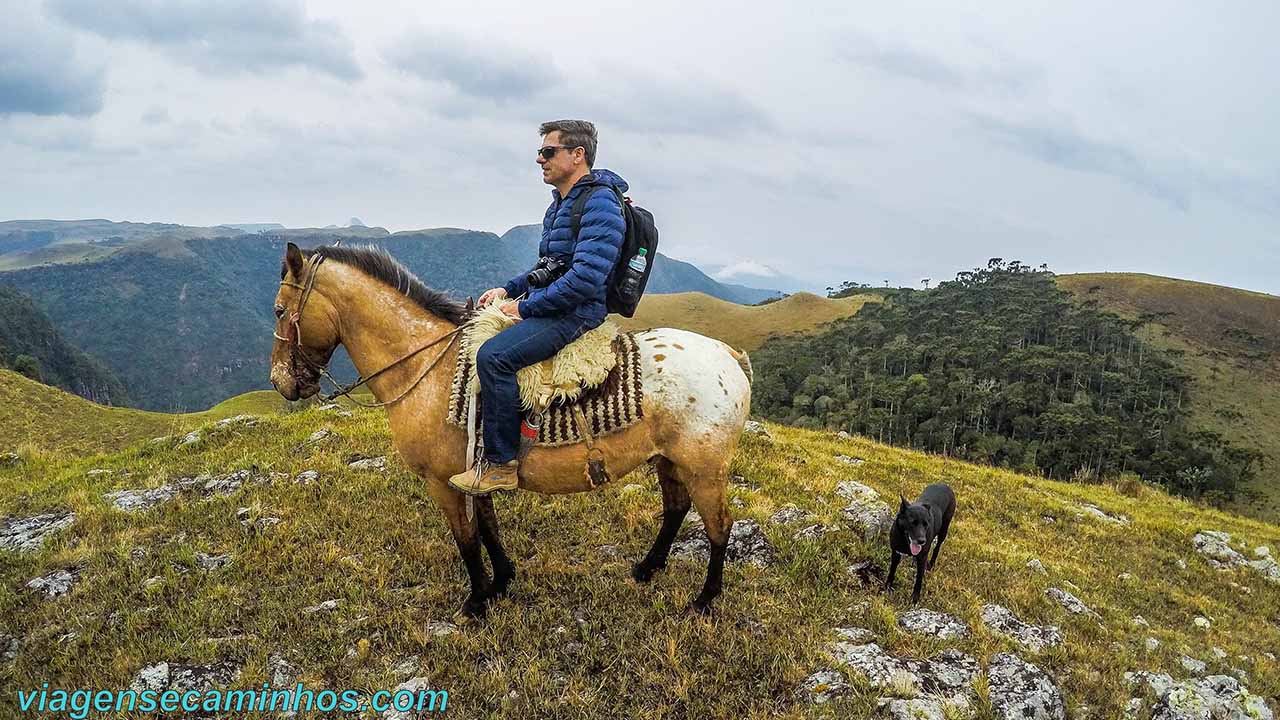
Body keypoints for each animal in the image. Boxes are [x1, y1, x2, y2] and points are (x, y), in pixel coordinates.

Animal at [268, 242, 747, 617]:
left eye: (278, 310)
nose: (281, 383)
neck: (424, 366)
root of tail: (728, 354)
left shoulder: (442, 481)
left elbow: (465, 538)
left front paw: (477, 601)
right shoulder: (474, 470)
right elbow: (488, 527)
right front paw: (501, 583)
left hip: (705, 468)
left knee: (719, 525)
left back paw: (704, 600)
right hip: (668, 459)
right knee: (676, 509)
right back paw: (647, 569)